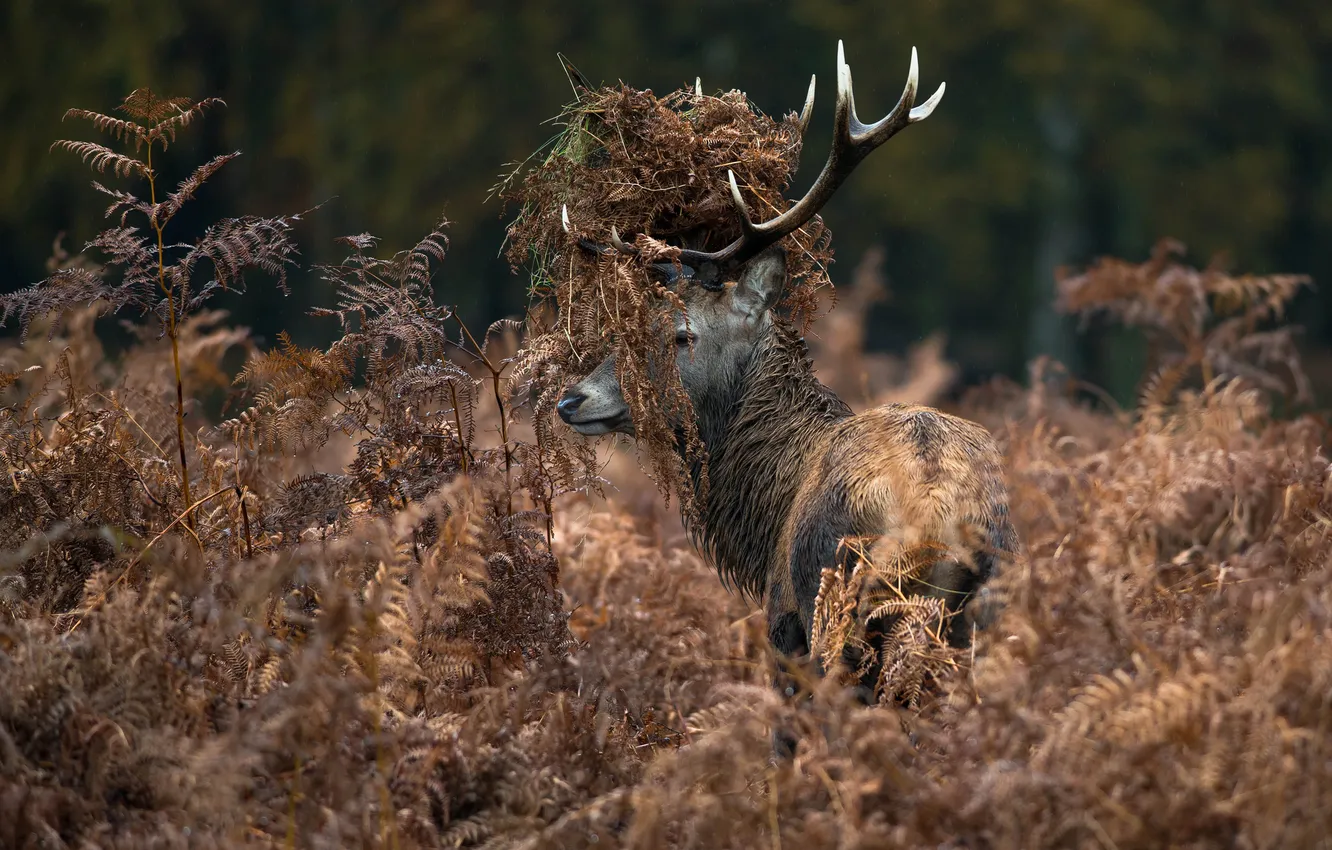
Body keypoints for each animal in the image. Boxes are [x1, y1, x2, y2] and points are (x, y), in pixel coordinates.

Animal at [555, 42, 1018, 725]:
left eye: (682, 334)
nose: (571, 398)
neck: (766, 515)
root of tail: (941, 522)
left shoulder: (783, 629)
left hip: (844, 621)